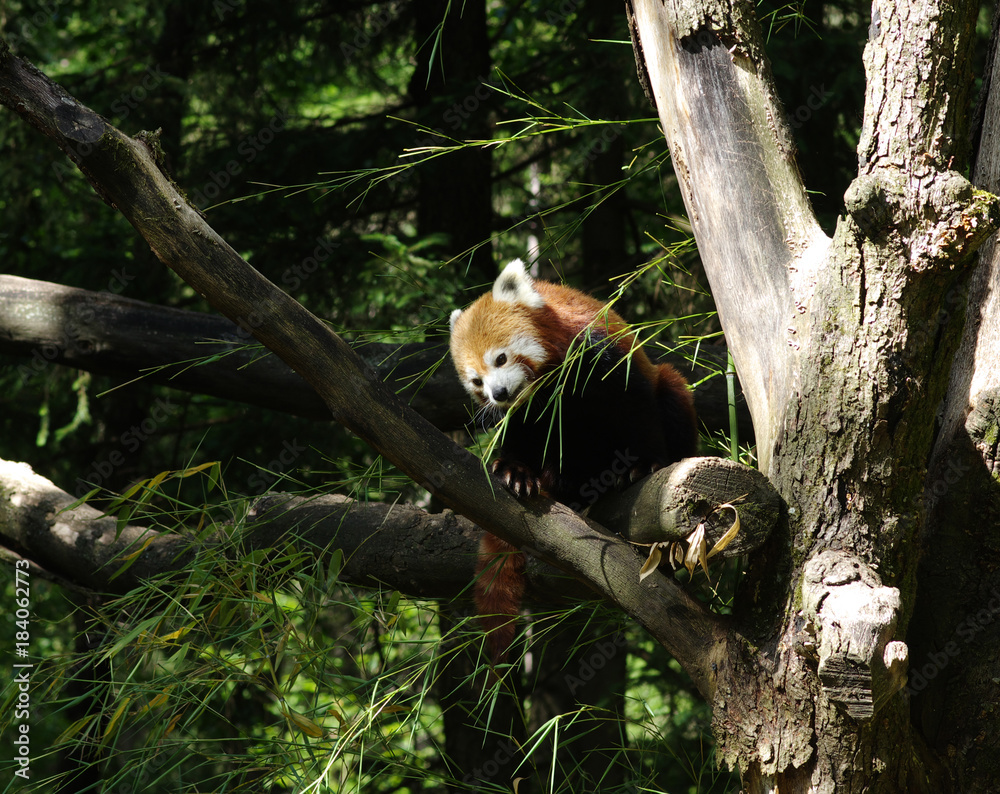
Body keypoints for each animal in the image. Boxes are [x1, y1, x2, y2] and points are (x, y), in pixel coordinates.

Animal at [452, 256, 696, 660]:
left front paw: (644, 464)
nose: (499, 393)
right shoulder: (530, 408)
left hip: (670, 389)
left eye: (500, 358)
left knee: (670, 386)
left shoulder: (600, 355)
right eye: (476, 381)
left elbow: (636, 409)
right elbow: (522, 431)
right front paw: (514, 470)